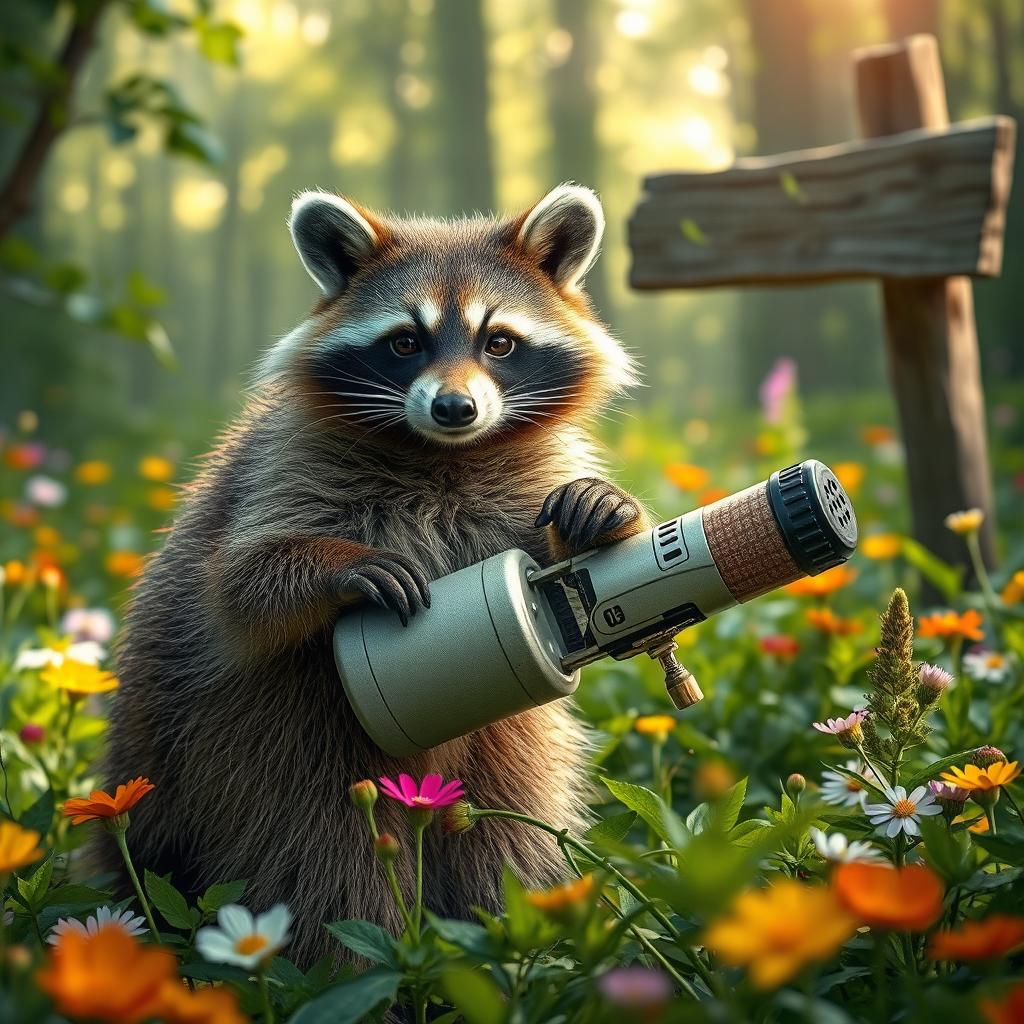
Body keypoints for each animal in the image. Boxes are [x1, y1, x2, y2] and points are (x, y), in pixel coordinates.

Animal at [100, 183, 650, 965]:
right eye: (405, 342)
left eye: (500, 342)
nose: (455, 407)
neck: (443, 453)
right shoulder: (278, 473)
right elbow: (242, 584)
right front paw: (338, 569)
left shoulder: (521, 486)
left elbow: (565, 564)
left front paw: (602, 513)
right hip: (263, 749)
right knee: (325, 862)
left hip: (495, 752)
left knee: (512, 827)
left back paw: (516, 930)